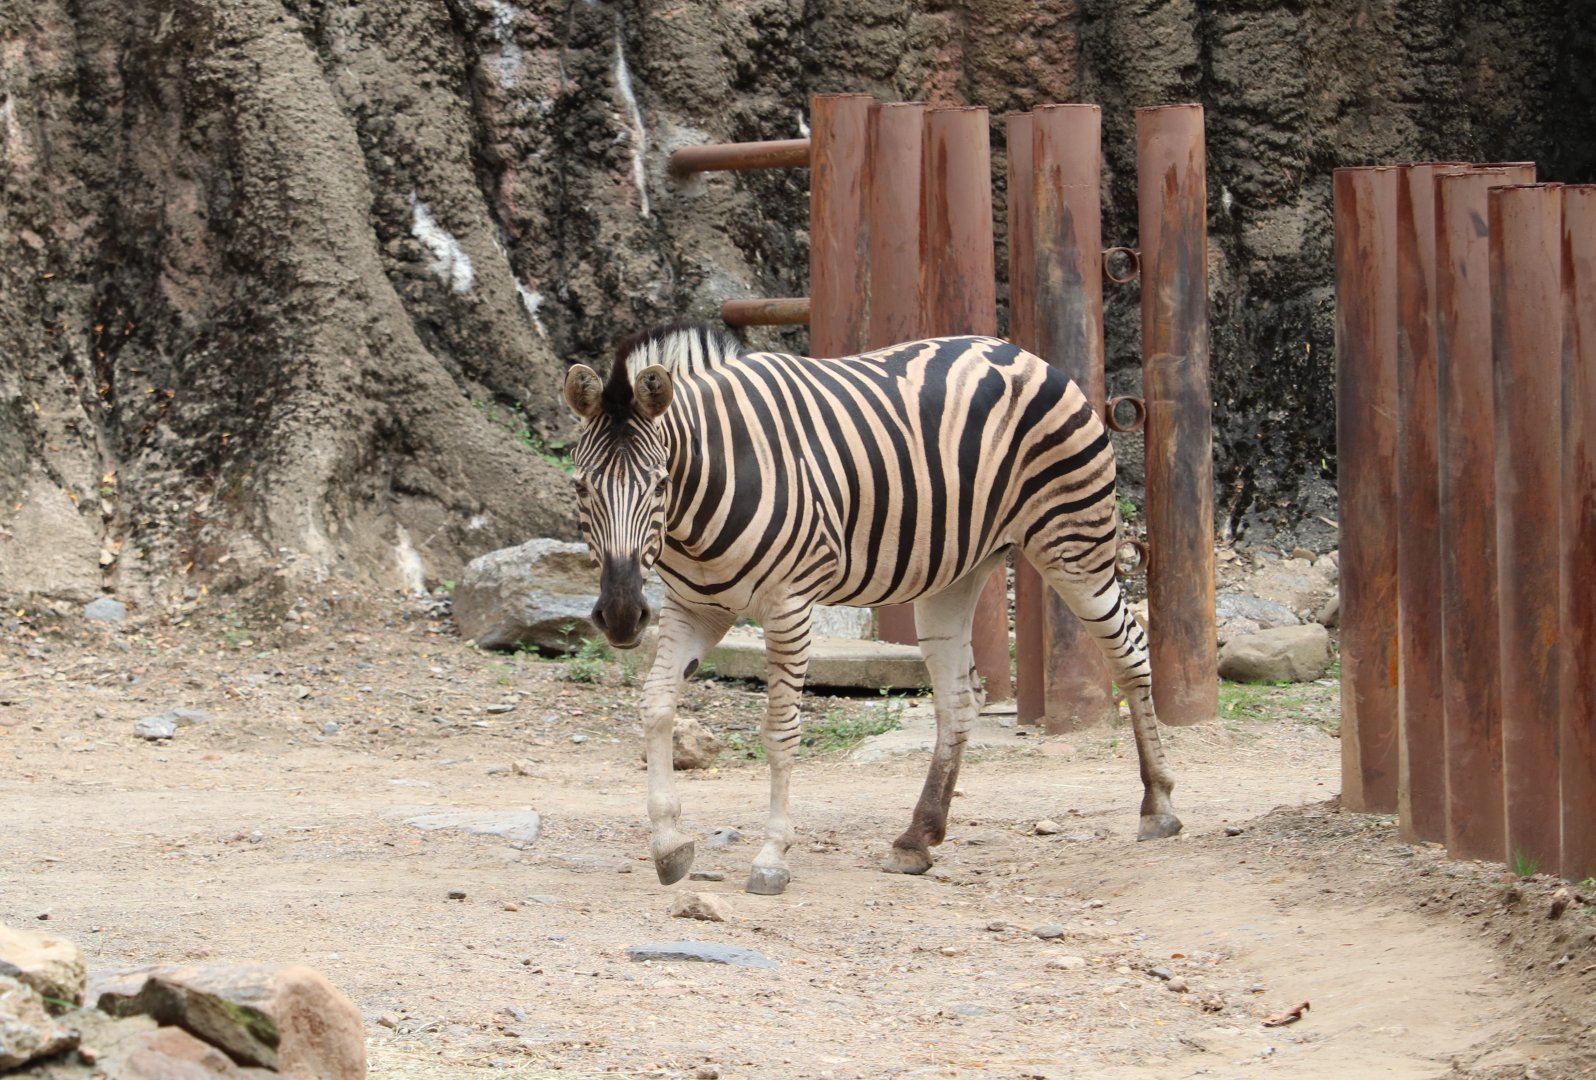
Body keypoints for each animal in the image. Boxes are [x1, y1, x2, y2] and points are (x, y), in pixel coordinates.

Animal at [562, 321, 1181, 896]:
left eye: (659, 484)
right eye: (581, 489)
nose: (621, 615)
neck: (706, 496)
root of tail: (1018, 351)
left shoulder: (790, 604)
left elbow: (779, 731)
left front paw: (772, 856)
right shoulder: (695, 607)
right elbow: (656, 706)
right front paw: (668, 843)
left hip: (1075, 545)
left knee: (1131, 654)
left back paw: (1158, 807)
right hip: (954, 575)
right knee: (958, 700)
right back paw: (917, 838)